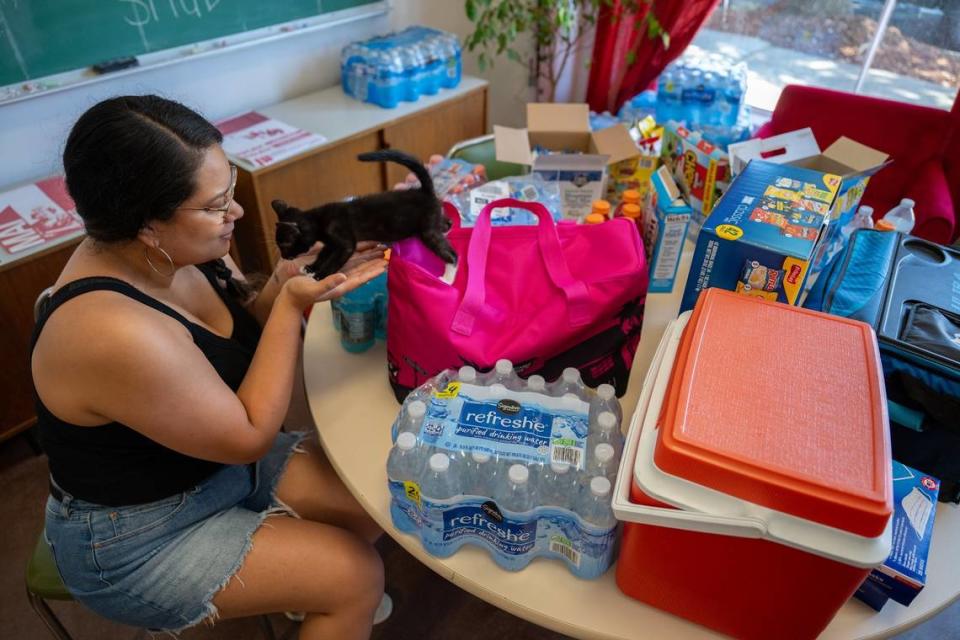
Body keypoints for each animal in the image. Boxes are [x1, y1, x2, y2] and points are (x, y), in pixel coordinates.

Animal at [274, 151, 458, 282]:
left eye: (284, 245)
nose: (283, 257)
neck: (318, 219)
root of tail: (424, 191)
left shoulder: (344, 242)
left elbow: (334, 260)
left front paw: (321, 275)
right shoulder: (330, 244)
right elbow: (323, 254)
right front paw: (311, 268)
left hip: (427, 230)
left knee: (453, 254)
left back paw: (448, 278)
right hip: (432, 222)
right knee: (447, 222)